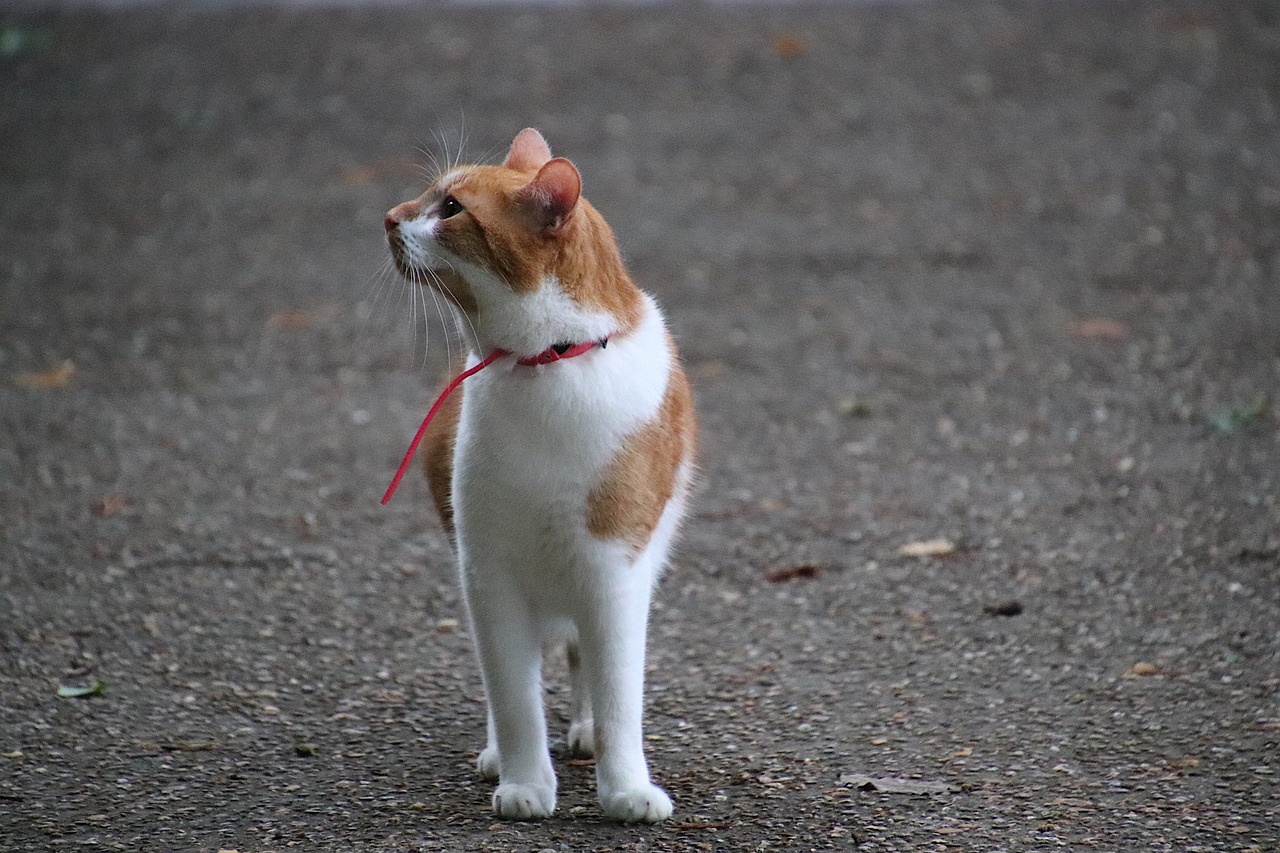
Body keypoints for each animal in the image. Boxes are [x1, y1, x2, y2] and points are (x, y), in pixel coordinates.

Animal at [381, 124, 701, 819]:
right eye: (428, 195)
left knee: (584, 658)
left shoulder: (614, 571)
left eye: (452, 209)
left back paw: (583, 729)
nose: (389, 217)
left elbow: (618, 696)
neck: (549, 364)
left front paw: (625, 788)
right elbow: (513, 697)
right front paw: (524, 781)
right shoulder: (488, 572)